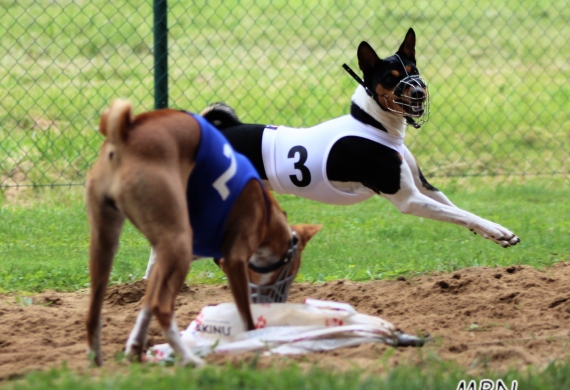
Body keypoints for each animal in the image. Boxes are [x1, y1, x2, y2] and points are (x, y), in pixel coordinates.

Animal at [84, 100, 318, 366]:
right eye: (290, 272)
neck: (266, 212)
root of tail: (124, 132)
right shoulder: (234, 260)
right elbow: (246, 316)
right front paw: (254, 339)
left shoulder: (164, 261)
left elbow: (145, 307)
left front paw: (134, 349)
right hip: (178, 245)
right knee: (162, 307)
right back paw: (189, 360)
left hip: (105, 244)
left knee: (95, 312)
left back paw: (96, 362)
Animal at [144, 29, 516, 280]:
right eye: (391, 78)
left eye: (414, 69)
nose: (419, 92)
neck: (374, 123)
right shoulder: (408, 198)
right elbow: (457, 214)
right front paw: (494, 230)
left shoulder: (424, 187)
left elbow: (461, 211)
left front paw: (496, 232)